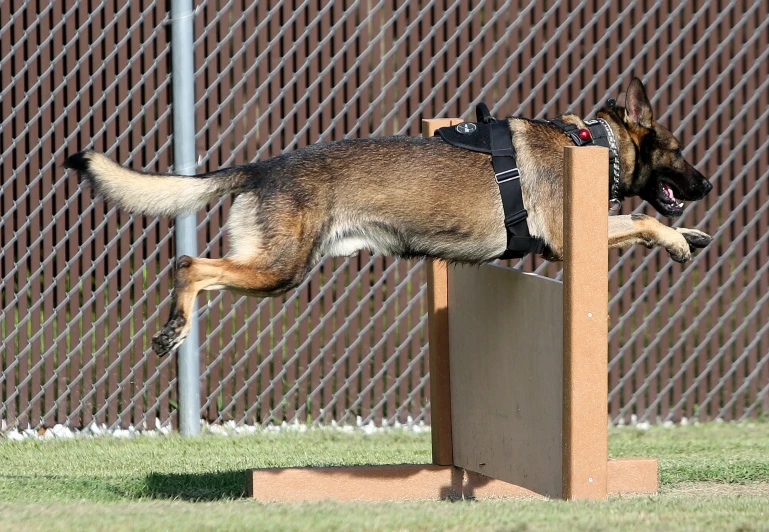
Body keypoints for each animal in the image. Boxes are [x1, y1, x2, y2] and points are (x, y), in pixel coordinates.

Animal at [64, 77, 712, 356]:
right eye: (679, 149)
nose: (707, 185)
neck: (590, 143)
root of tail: (261, 166)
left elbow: (650, 223)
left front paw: (692, 233)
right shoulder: (568, 237)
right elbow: (646, 224)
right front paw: (679, 241)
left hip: (273, 267)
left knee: (198, 267)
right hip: (280, 270)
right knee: (189, 264)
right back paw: (172, 330)